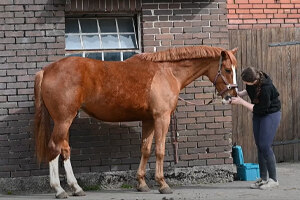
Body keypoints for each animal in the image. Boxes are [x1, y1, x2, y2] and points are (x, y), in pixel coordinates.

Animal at [34, 45, 238, 198]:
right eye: (227, 69)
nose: (232, 96)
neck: (167, 71)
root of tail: (46, 70)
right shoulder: (161, 117)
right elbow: (160, 151)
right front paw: (162, 184)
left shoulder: (148, 119)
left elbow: (145, 150)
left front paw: (141, 183)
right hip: (63, 120)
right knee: (54, 147)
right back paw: (59, 189)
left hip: (66, 120)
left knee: (65, 150)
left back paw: (76, 188)